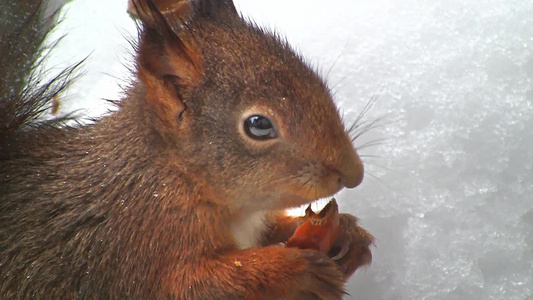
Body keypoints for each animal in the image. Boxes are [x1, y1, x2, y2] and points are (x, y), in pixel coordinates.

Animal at [0, 0, 374, 300]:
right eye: (258, 125)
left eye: (319, 82)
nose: (355, 175)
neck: (176, 175)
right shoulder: (138, 244)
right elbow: (192, 285)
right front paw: (294, 271)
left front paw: (346, 234)